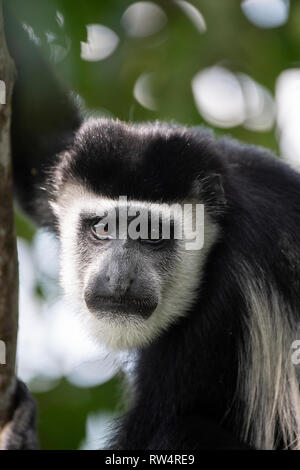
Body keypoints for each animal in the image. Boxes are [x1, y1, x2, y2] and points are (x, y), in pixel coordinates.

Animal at [3, 4, 300, 452]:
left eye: (153, 234)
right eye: (102, 228)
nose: (119, 277)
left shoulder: (219, 313)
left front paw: (21, 434)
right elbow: (43, 145)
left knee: (181, 431)